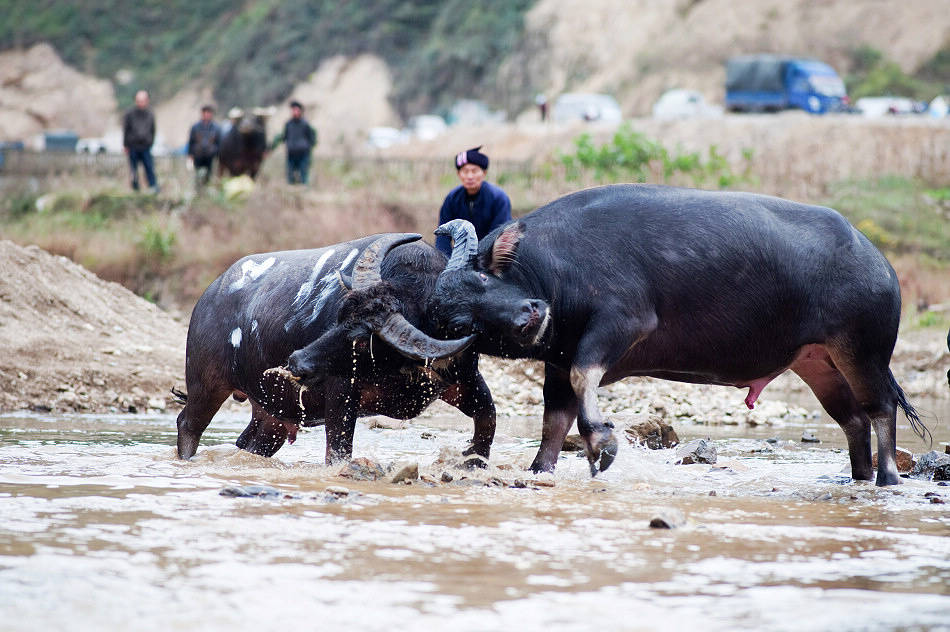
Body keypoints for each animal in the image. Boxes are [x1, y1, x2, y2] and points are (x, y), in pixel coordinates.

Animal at [175, 232, 498, 464]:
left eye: (363, 339)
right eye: (340, 315)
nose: (298, 361)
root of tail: (207, 297)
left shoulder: (463, 379)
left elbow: (488, 420)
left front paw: (475, 460)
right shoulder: (341, 395)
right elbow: (339, 452)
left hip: (272, 416)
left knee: (249, 444)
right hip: (206, 385)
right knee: (187, 424)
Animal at [434, 185, 928, 486]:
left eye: (483, 280)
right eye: (459, 324)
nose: (529, 317)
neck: (556, 266)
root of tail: (878, 261)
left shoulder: (624, 323)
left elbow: (582, 377)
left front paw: (602, 443)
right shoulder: (557, 360)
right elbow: (555, 419)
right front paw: (542, 468)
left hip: (863, 352)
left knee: (880, 408)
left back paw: (886, 477)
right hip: (817, 363)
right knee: (853, 419)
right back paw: (859, 476)